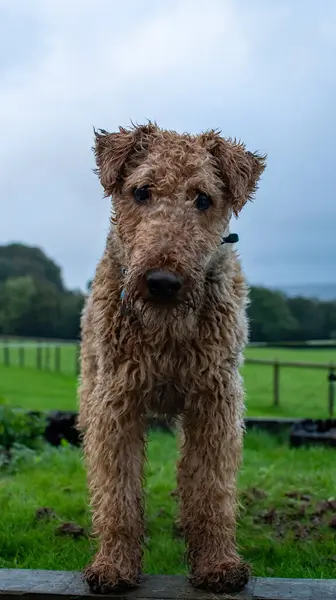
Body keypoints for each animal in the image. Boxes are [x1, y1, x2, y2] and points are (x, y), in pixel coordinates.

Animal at [78, 119, 266, 592]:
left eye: (203, 198)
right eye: (142, 191)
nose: (162, 282)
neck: (166, 332)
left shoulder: (214, 400)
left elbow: (211, 490)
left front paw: (218, 565)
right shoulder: (116, 401)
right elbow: (118, 493)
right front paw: (114, 566)